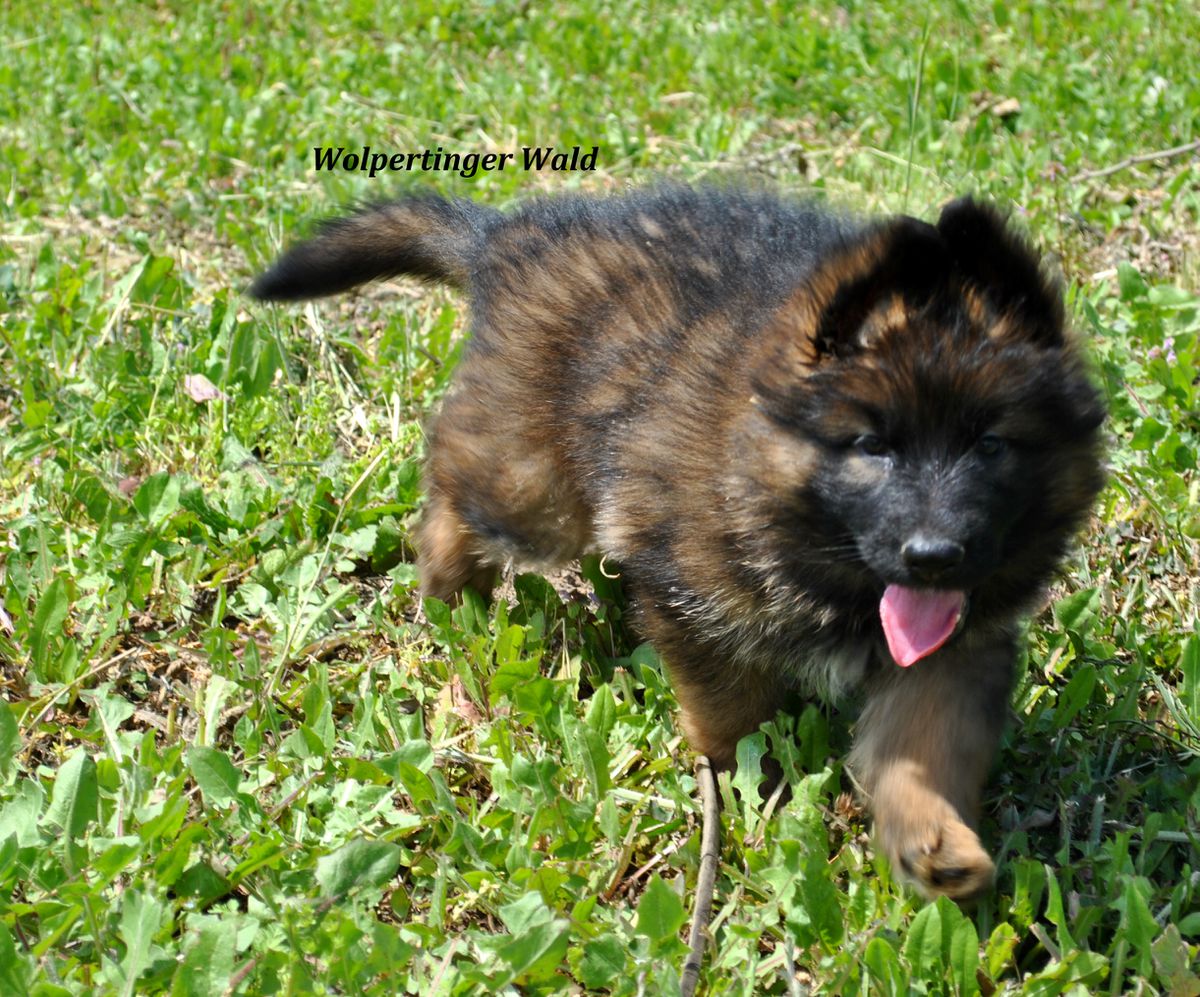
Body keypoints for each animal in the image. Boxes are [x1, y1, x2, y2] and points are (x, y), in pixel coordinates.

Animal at [253, 184, 1104, 897]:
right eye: (872, 446)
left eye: (991, 445)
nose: (934, 557)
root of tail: (505, 236)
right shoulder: (696, 598)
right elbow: (733, 717)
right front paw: (752, 795)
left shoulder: (956, 645)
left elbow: (926, 744)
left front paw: (931, 839)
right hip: (532, 490)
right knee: (452, 484)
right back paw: (449, 598)